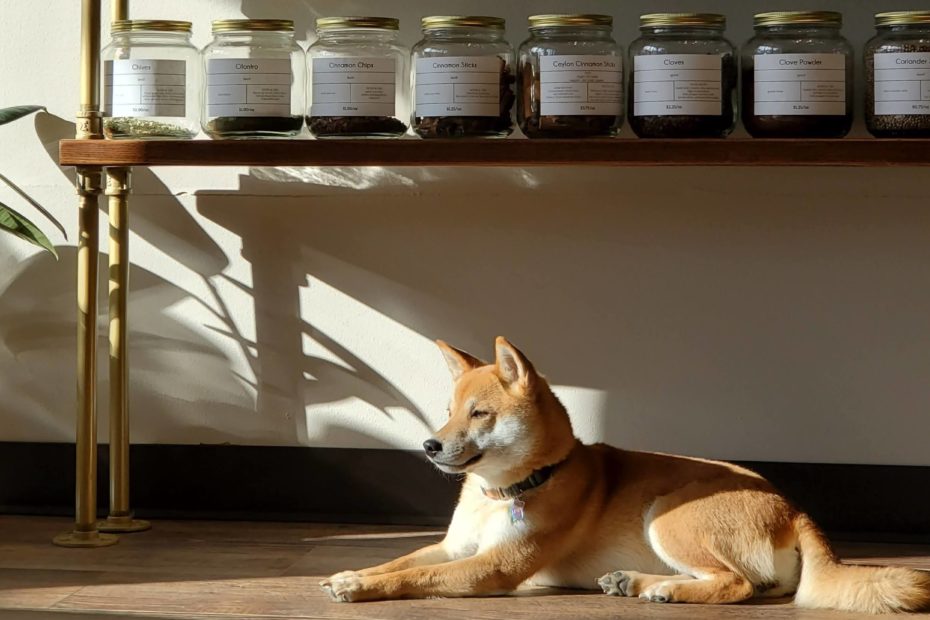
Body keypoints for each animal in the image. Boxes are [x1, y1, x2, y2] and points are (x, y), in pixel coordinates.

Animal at [320, 336, 928, 612]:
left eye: (480, 414)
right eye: (447, 411)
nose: (429, 445)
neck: (507, 490)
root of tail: (794, 506)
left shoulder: (490, 568)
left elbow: (416, 576)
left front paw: (359, 586)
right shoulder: (453, 548)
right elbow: (400, 561)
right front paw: (350, 573)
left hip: (667, 514)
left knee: (738, 584)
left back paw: (663, 589)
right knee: (751, 583)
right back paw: (636, 583)